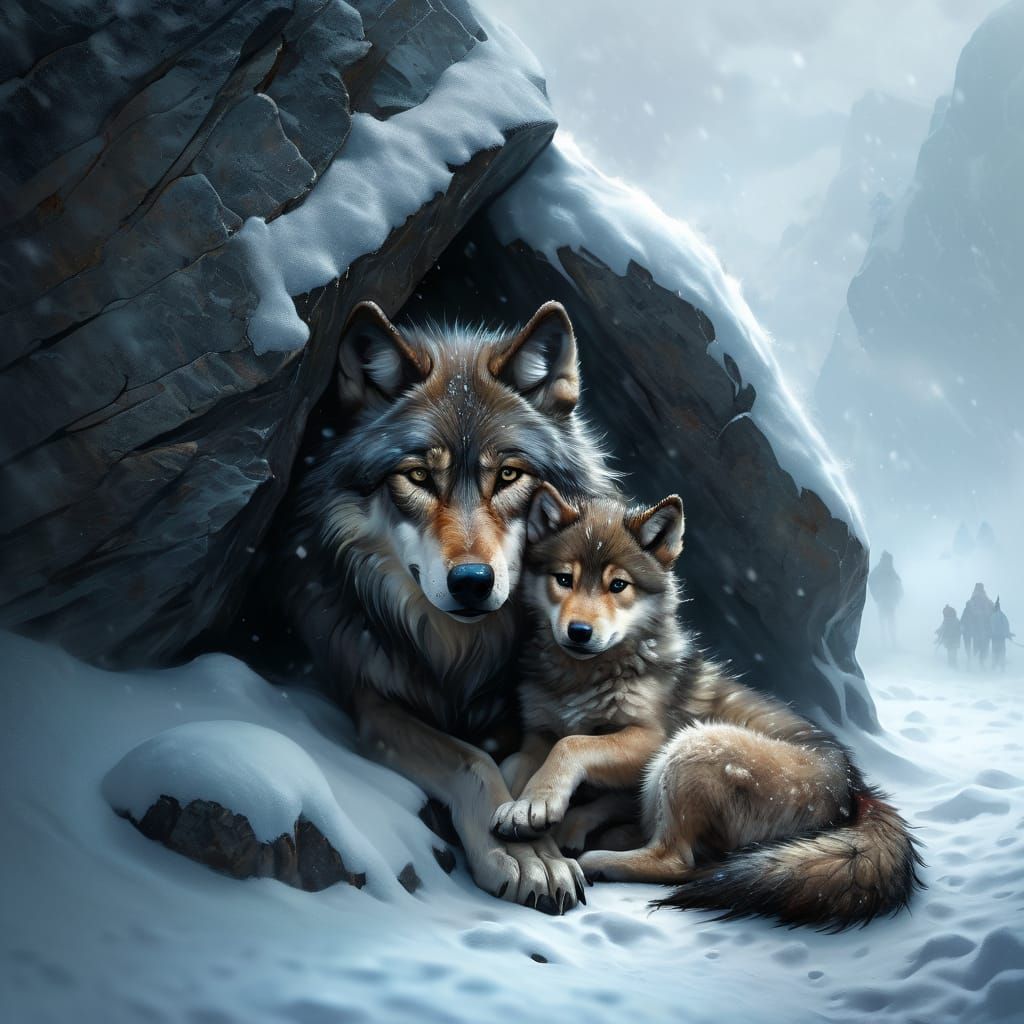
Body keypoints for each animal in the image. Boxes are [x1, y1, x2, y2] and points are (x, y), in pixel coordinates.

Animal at [279, 300, 613, 913]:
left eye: (508, 475)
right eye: (417, 476)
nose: (473, 582)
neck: (458, 655)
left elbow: (522, 762)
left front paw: (534, 835)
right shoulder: (371, 699)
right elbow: (471, 760)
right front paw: (523, 856)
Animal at [492, 484, 923, 929]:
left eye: (618, 586)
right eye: (565, 579)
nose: (579, 632)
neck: (581, 678)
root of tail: (856, 792)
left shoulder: (651, 739)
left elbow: (573, 745)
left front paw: (537, 805)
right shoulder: (537, 733)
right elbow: (517, 763)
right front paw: (522, 808)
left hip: (690, 747)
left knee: (677, 860)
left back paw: (598, 858)